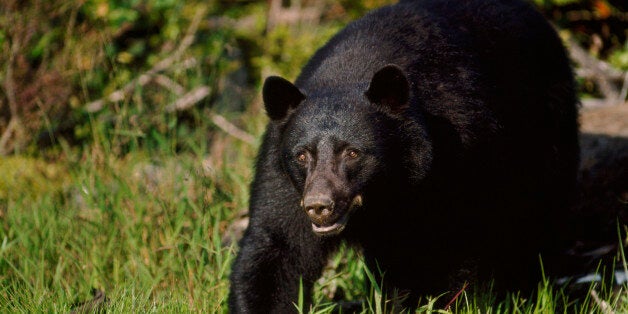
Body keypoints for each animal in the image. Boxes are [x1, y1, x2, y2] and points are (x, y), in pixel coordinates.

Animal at [229, 0, 580, 310]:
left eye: (353, 152)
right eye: (302, 155)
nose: (319, 205)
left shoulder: (459, 156)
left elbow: (450, 245)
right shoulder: (283, 177)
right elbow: (278, 248)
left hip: (545, 132)